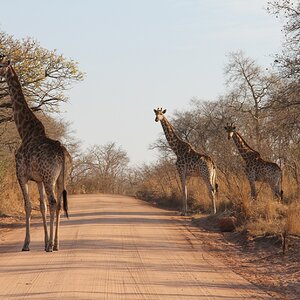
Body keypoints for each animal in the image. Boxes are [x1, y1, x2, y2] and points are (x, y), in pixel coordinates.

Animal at [0, 55, 71, 252]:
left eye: (1, 64)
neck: (24, 132)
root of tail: (62, 153)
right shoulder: (37, 180)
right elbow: (41, 206)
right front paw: (45, 240)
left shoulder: (21, 175)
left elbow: (28, 205)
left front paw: (27, 244)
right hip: (61, 178)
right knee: (58, 203)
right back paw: (55, 244)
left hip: (49, 177)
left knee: (54, 202)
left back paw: (51, 246)